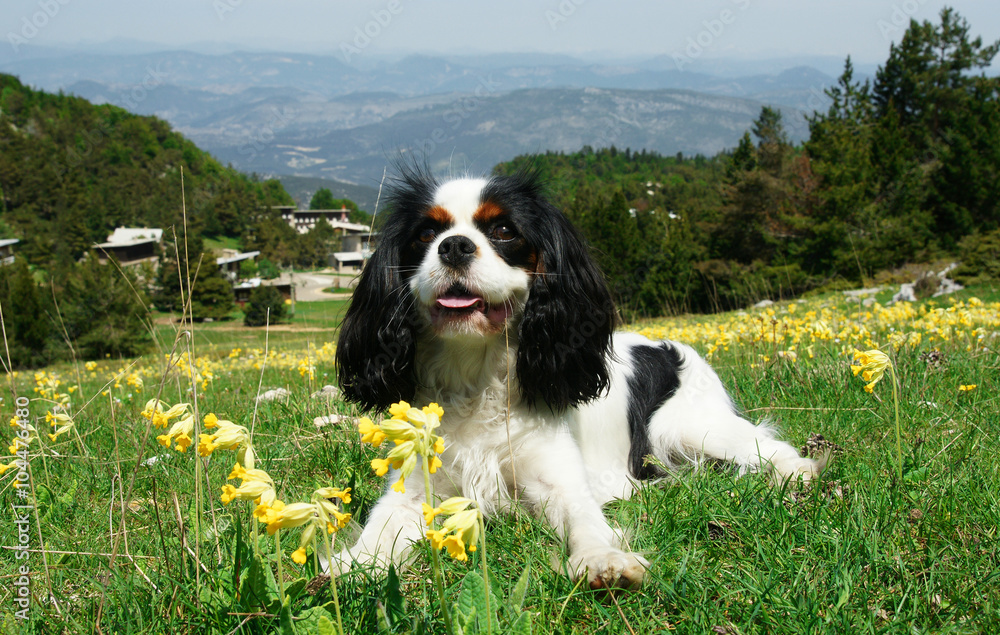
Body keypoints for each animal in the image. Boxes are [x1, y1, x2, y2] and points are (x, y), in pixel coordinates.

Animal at [336, 168, 820, 588]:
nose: (453, 246)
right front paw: (345, 569)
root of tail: (671, 348)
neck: (475, 375)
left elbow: (584, 520)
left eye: (504, 230)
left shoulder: (560, 480)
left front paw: (604, 561)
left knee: (767, 446)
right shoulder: (415, 489)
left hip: (688, 426)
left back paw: (796, 473)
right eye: (425, 234)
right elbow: (379, 532)